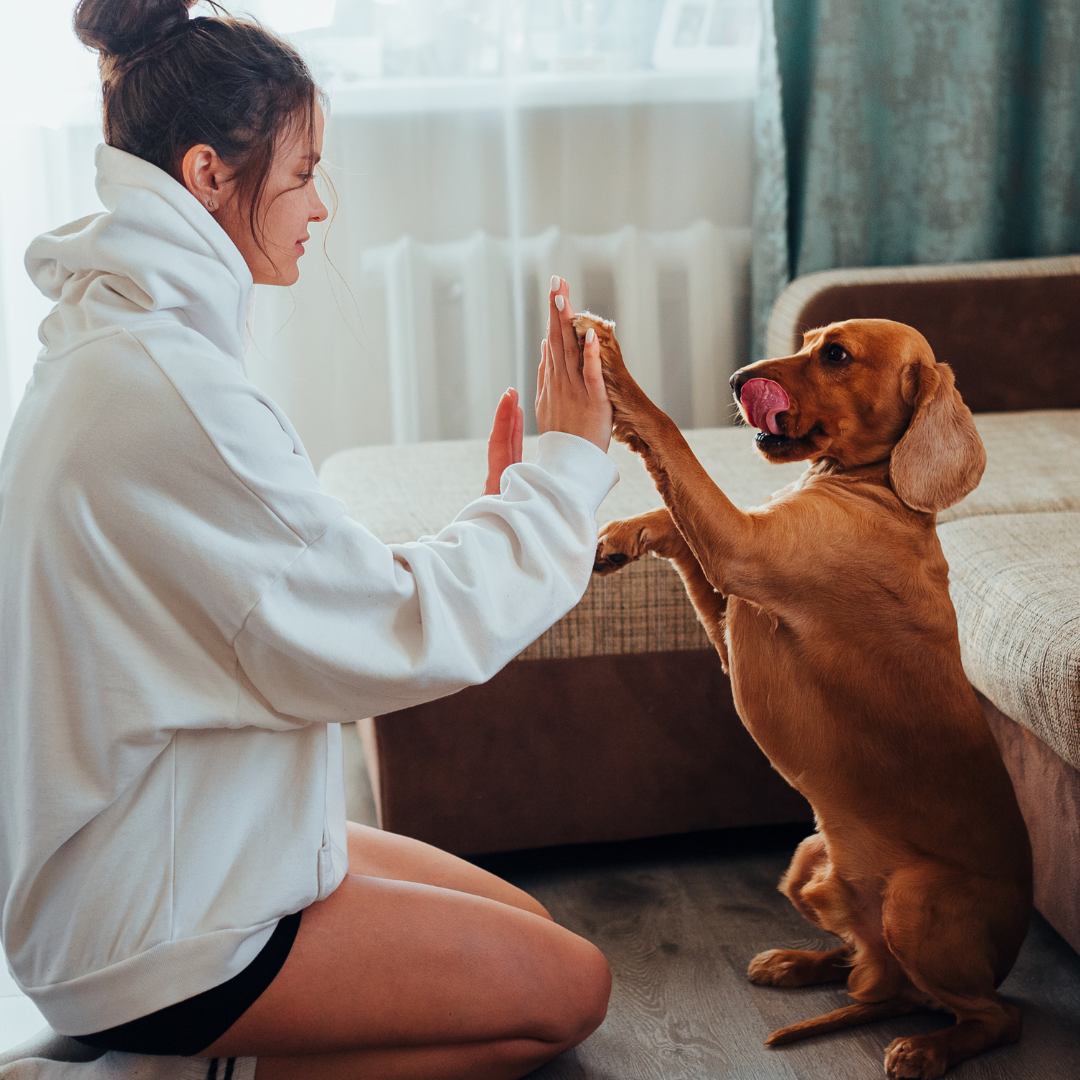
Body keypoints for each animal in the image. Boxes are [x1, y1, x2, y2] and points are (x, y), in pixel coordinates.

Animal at [587, 315, 1032, 1080]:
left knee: (989, 1017)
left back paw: (926, 1049)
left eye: (836, 355)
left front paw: (615, 373)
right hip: (808, 859)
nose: (739, 379)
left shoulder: (741, 548)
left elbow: (670, 439)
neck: (877, 490)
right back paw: (800, 963)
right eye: (807, 339)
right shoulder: (732, 604)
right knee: (870, 970)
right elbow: (676, 521)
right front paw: (621, 535)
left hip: (913, 901)